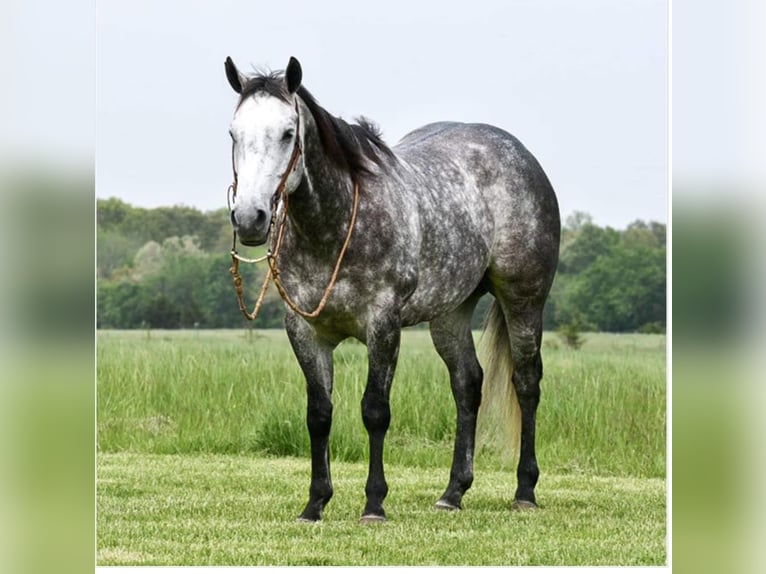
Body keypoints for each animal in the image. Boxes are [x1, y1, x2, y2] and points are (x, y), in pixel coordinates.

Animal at [225, 56, 560, 524]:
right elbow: (319, 414)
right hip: (450, 313)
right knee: (467, 384)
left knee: (526, 382)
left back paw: (525, 490)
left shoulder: (383, 326)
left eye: (288, 133)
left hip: (524, 300)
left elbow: (375, 411)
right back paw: (453, 492)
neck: (336, 225)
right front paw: (315, 503)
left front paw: (374, 503)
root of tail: (522, 156)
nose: (250, 218)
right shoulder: (305, 331)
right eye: (234, 133)